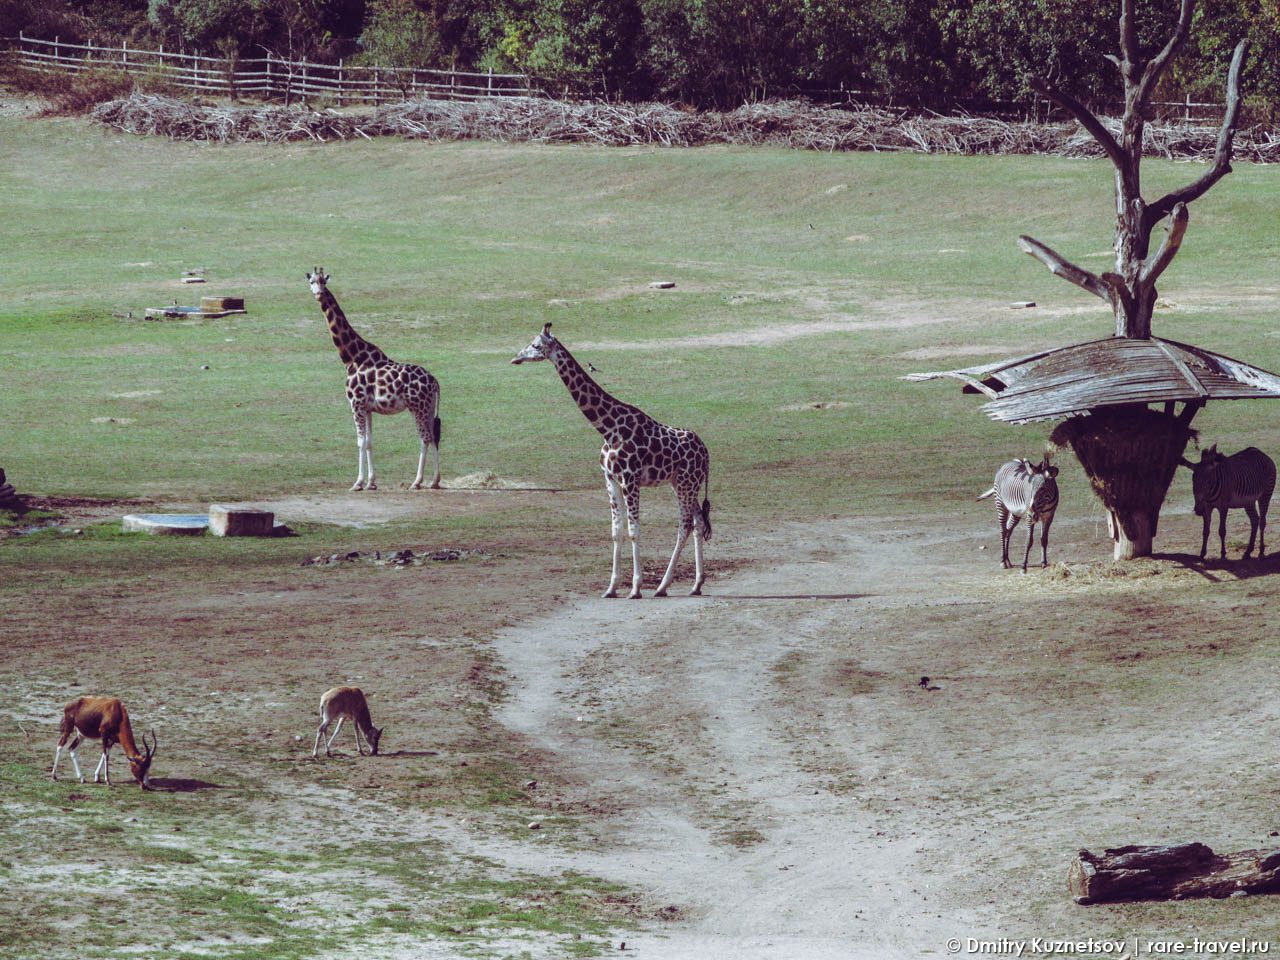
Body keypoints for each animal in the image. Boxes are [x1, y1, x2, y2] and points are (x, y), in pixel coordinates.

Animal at [307, 271, 442, 496]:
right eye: (311, 281)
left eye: (323, 281)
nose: (319, 294)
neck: (351, 358)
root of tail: (435, 382)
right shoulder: (368, 408)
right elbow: (370, 442)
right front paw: (371, 482)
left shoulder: (356, 404)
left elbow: (360, 442)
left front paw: (358, 483)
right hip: (429, 407)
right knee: (434, 435)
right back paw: (434, 481)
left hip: (417, 407)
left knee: (425, 437)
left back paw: (417, 482)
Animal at [509, 327, 711, 599]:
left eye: (536, 345)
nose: (516, 357)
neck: (608, 429)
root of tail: (706, 452)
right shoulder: (610, 479)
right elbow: (616, 532)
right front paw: (611, 588)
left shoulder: (630, 479)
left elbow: (634, 530)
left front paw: (635, 588)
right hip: (681, 483)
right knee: (698, 522)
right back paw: (696, 584)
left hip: (686, 482)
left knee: (685, 524)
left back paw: (662, 586)